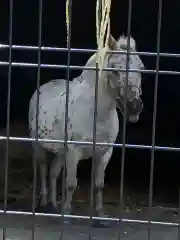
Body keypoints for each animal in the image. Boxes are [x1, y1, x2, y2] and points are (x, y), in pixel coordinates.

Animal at [28, 34, 145, 218]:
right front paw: (67, 214)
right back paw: (44, 204)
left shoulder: (104, 153)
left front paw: (100, 214)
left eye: (141, 68)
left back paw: (54, 205)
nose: (135, 107)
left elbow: (98, 184)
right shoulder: (74, 151)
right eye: (115, 69)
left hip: (61, 152)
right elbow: (71, 184)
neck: (96, 113)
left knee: (53, 172)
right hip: (38, 146)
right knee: (43, 170)